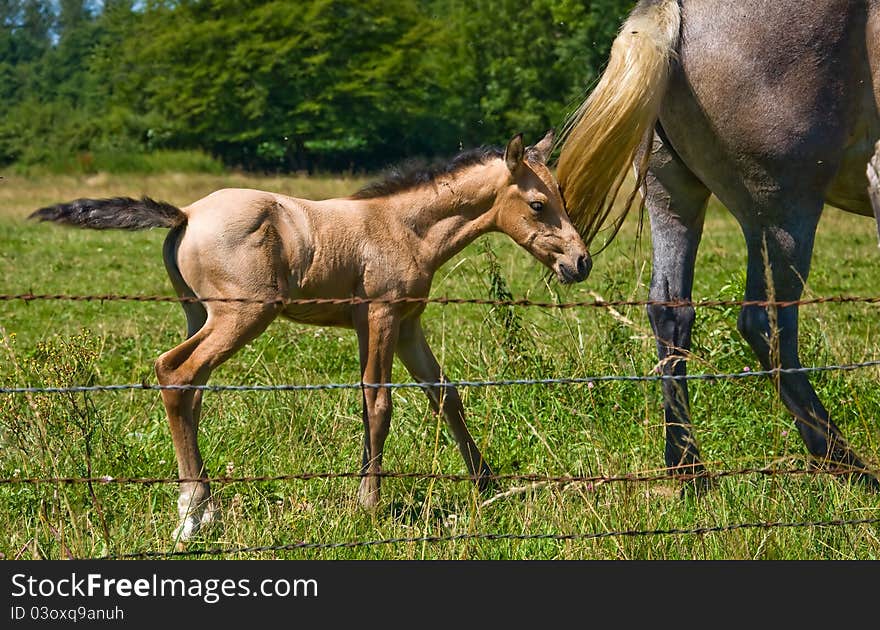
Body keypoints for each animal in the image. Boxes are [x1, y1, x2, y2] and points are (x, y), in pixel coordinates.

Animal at [556, 0, 880, 488]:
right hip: (784, 211)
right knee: (765, 324)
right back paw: (846, 463)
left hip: (673, 198)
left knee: (669, 312)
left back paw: (688, 465)